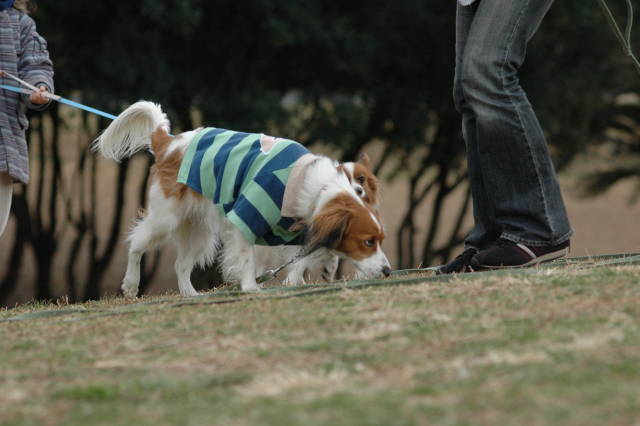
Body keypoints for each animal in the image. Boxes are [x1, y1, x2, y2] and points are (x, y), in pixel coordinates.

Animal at [94, 102, 390, 296]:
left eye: (379, 241)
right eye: (367, 242)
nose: (388, 272)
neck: (315, 185)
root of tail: (168, 142)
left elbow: (301, 257)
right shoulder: (247, 217)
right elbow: (249, 259)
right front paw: (250, 287)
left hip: (199, 231)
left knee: (180, 264)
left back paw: (190, 295)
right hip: (165, 219)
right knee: (136, 243)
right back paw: (131, 284)